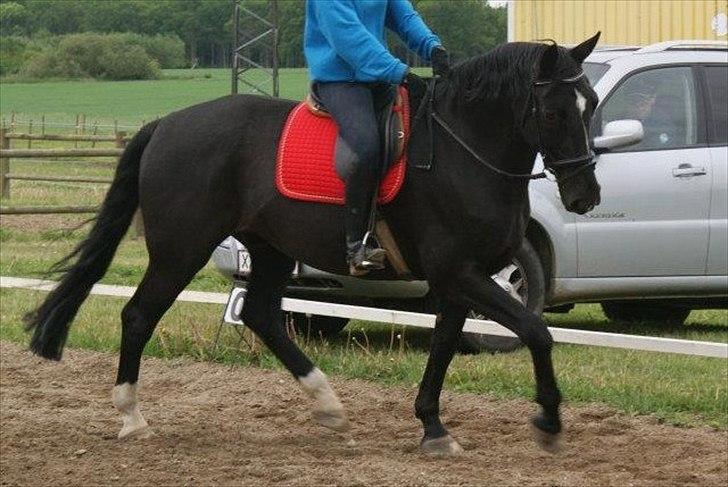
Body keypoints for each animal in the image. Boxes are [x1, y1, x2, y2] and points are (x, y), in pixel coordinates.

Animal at [24, 35, 604, 458]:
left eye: (591, 104)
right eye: (553, 112)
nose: (585, 195)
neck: (464, 152)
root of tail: (167, 123)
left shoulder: (460, 278)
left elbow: (444, 345)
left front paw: (434, 428)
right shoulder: (460, 272)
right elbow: (536, 331)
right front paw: (549, 421)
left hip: (271, 249)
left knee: (260, 314)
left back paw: (328, 405)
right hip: (181, 248)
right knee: (140, 315)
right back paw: (132, 417)